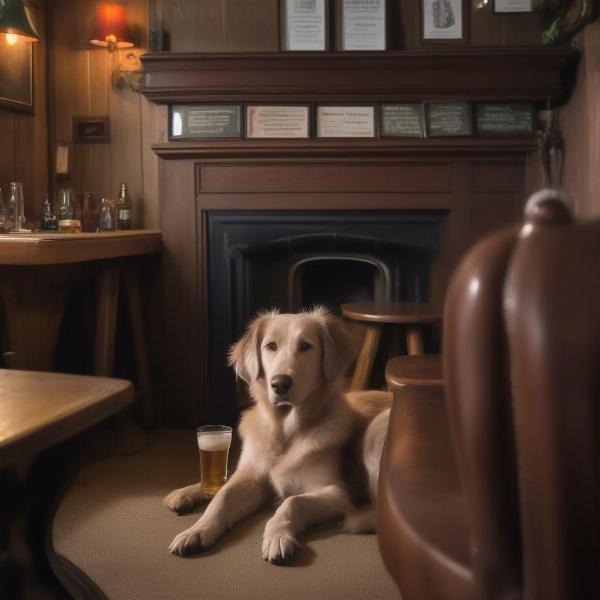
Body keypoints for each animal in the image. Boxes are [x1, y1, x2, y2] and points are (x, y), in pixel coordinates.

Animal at [162, 308, 392, 564]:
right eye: (270, 346)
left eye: (305, 346)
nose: (280, 384)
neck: (284, 432)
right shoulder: (252, 478)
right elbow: (222, 497)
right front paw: (196, 530)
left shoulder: (335, 492)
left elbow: (292, 502)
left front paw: (278, 537)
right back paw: (185, 493)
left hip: (376, 432)